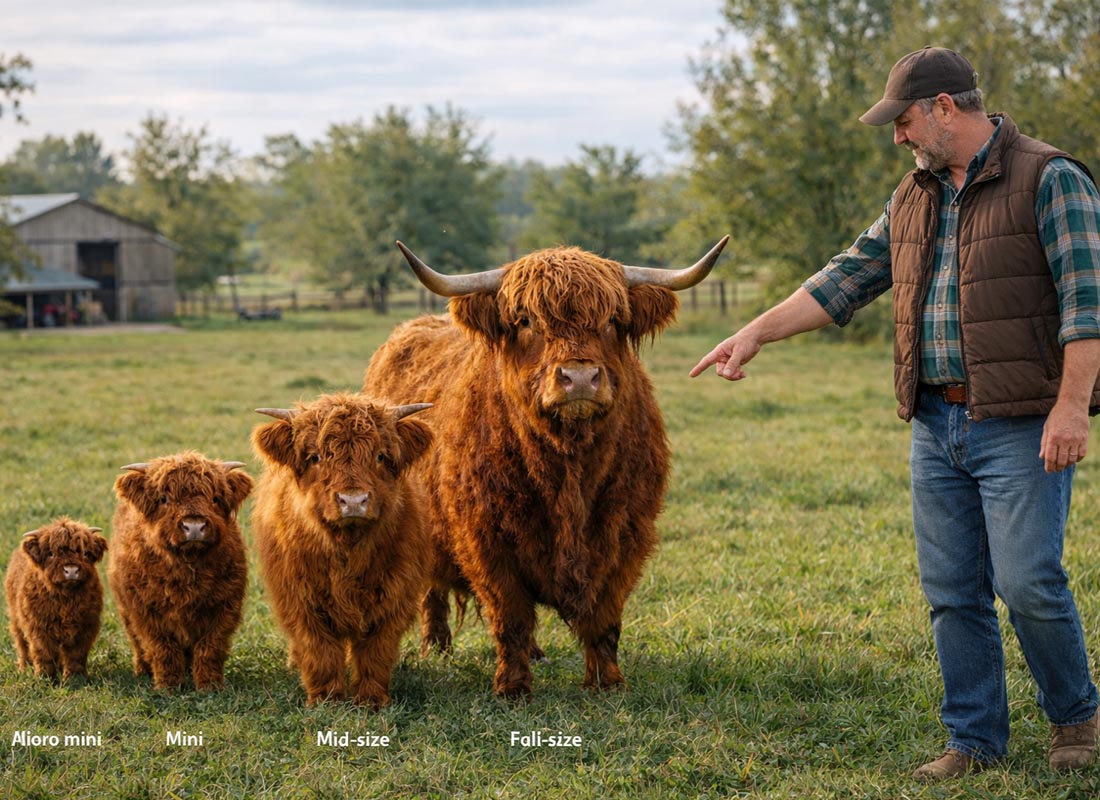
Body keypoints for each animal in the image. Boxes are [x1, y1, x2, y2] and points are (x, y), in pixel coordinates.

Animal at [5, 517, 107, 681]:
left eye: (85, 552)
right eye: (51, 553)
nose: (71, 570)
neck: (65, 600)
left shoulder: (85, 626)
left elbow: (76, 654)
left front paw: (75, 678)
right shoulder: (38, 627)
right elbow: (44, 653)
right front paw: (45, 678)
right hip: (16, 618)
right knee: (22, 643)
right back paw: (24, 667)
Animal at [108, 451, 253, 691]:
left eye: (215, 498)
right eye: (164, 499)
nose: (193, 526)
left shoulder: (224, 608)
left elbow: (210, 648)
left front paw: (209, 686)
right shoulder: (147, 613)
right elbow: (163, 649)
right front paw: (168, 686)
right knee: (136, 641)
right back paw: (142, 670)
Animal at [250, 392, 433, 708]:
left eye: (380, 455)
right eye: (316, 457)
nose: (353, 501)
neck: (347, 549)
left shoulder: (394, 597)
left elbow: (376, 651)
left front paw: (371, 700)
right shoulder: (302, 601)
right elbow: (320, 651)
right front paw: (327, 699)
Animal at [363, 237, 728, 698]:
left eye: (612, 320)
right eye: (525, 321)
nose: (580, 378)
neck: (568, 468)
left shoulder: (625, 535)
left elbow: (605, 619)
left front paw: (608, 682)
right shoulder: (488, 541)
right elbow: (511, 617)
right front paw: (513, 687)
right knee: (433, 591)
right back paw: (436, 647)